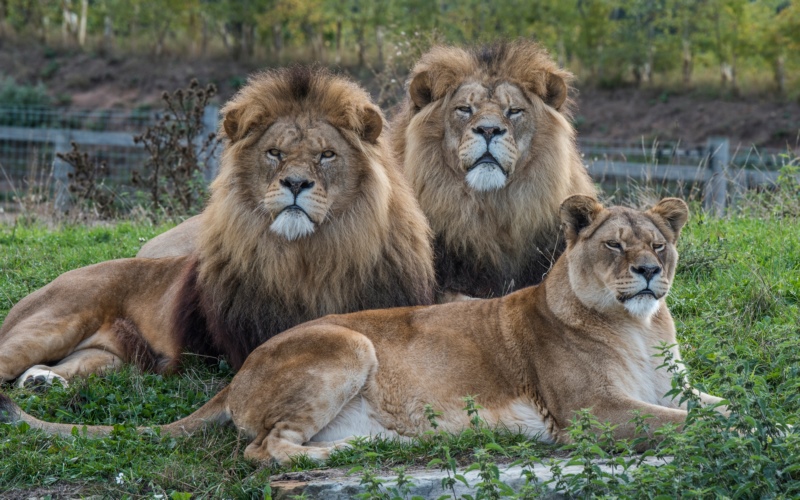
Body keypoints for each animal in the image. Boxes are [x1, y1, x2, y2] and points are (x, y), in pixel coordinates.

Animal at [0, 67, 434, 386]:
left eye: (326, 155)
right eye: (274, 153)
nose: (295, 183)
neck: (309, 258)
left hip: (107, 358)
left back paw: (42, 382)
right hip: (50, 326)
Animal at [0, 196, 728, 464]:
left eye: (658, 245)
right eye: (614, 245)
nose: (647, 272)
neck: (640, 327)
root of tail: (239, 371)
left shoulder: (672, 387)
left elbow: (715, 405)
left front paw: (747, 417)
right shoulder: (592, 414)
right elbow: (683, 424)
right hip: (349, 342)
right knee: (264, 450)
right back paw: (342, 459)